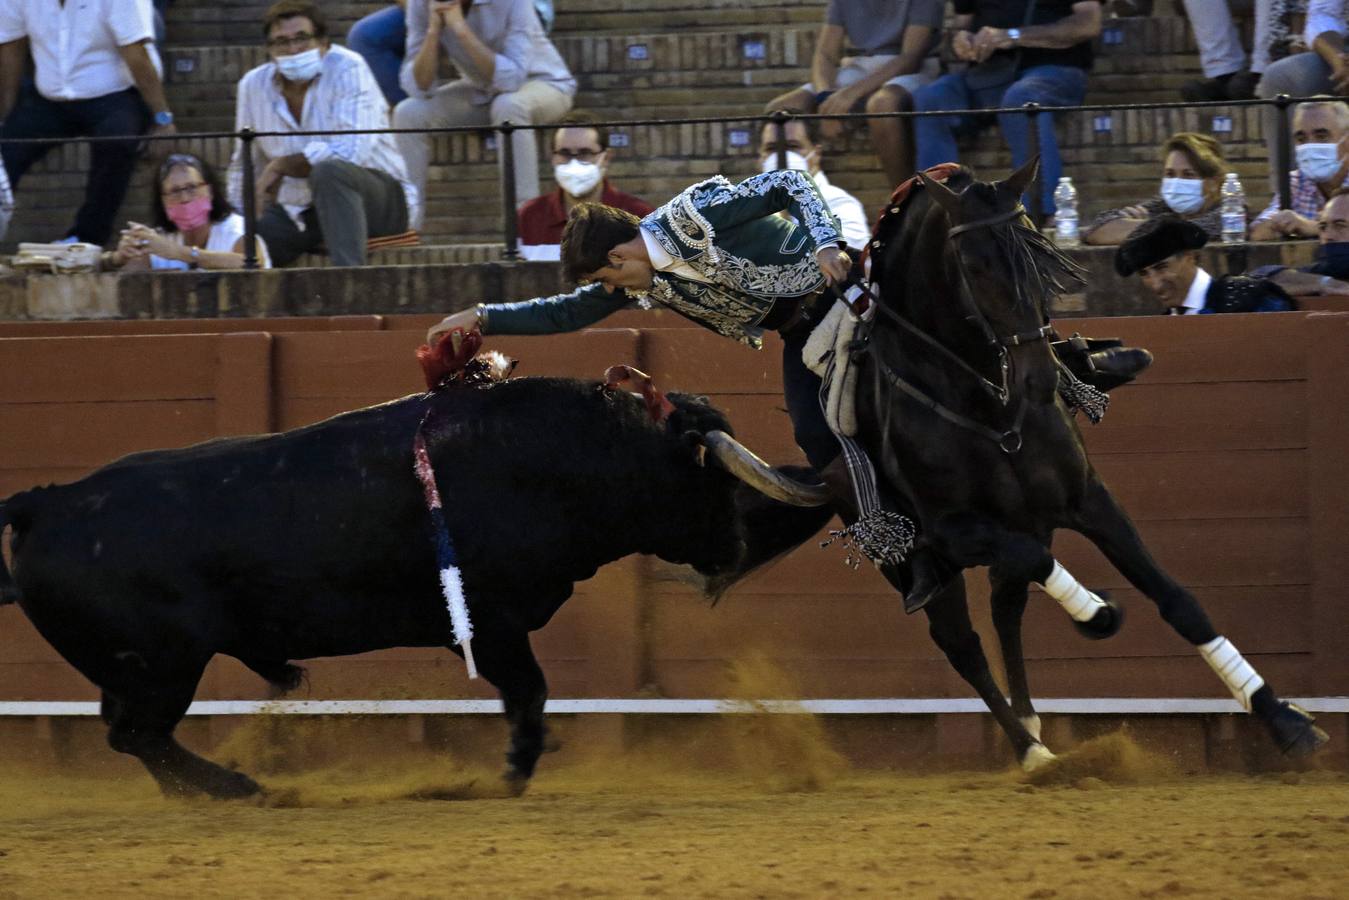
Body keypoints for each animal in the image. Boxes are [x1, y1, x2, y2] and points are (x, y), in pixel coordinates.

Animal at [0, 377, 830, 798]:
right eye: (706, 479)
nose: (733, 549)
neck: (566, 455)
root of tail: (49, 502)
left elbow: (528, 692)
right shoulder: (494, 621)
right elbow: (529, 690)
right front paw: (514, 768)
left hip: (137, 670)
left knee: (131, 736)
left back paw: (205, 794)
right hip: (165, 665)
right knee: (139, 734)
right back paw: (240, 788)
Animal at [841, 159, 1327, 766]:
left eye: (1043, 255)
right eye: (973, 265)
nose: (1041, 380)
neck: (988, 403)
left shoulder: (1087, 497)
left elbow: (1177, 600)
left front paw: (1285, 719)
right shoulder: (955, 530)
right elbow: (1034, 571)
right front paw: (1099, 613)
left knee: (1005, 606)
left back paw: (1031, 721)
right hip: (917, 559)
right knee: (963, 641)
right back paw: (1031, 752)